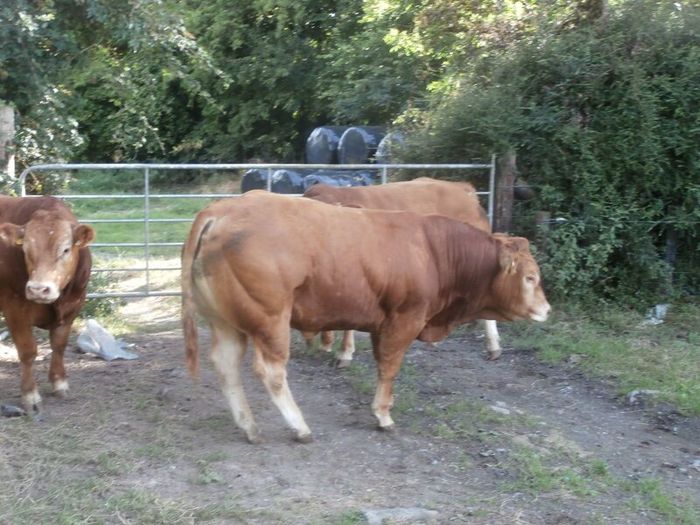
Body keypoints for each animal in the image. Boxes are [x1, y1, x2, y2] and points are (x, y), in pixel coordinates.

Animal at [0, 196, 94, 414]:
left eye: (65, 249)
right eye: (25, 249)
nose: (38, 289)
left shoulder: (73, 306)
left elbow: (59, 345)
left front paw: (59, 383)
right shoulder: (14, 308)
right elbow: (28, 351)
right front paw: (30, 395)